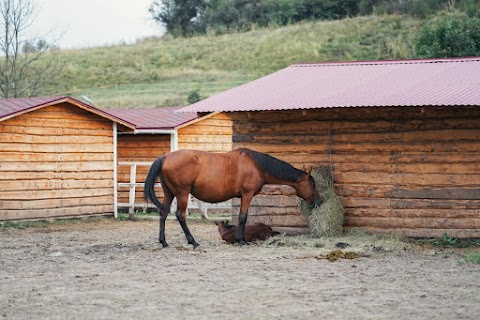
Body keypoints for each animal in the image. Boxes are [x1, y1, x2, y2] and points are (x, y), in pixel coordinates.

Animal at [143, 149, 322, 249]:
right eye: (312, 184)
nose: (319, 202)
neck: (256, 165)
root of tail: (165, 157)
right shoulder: (247, 194)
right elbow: (243, 217)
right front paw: (241, 240)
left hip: (169, 193)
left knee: (163, 213)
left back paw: (164, 242)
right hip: (182, 193)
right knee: (180, 215)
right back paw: (193, 242)